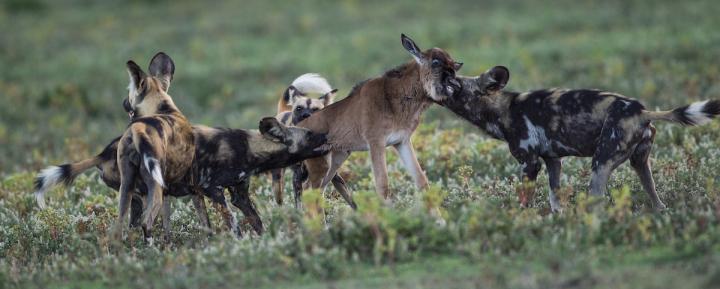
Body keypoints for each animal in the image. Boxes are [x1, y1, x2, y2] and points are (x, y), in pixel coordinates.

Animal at [270, 72, 354, 208]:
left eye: (315, 110)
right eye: (299, 108)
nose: (306, 115)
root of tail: (284, 111)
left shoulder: (333, 176)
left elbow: (350, 200)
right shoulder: (298, 178)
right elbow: (299, 205)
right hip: (279, 183)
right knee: (280, 199)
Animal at [296, 33, 462, 200]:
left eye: (454, 65)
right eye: (435, 62)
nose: (454, 84)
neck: (396, 98)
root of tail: (300, 126)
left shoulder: (402, 142)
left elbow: (422, 181)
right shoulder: (376, 143)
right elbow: (383, 185)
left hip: (336, 159)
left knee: (317, 189)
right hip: (319, 164)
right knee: (309, 189)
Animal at [438, 66, 720, 212]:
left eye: (455, 84)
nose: (440, 81)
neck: (503, 110)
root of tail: (641, 111)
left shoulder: (530, 163)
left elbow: (525, 198)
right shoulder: (552, 162)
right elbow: (555, 198)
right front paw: (557, 221)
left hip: (601, 163)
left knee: (598, 199)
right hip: (640, 163)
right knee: (654, 196)